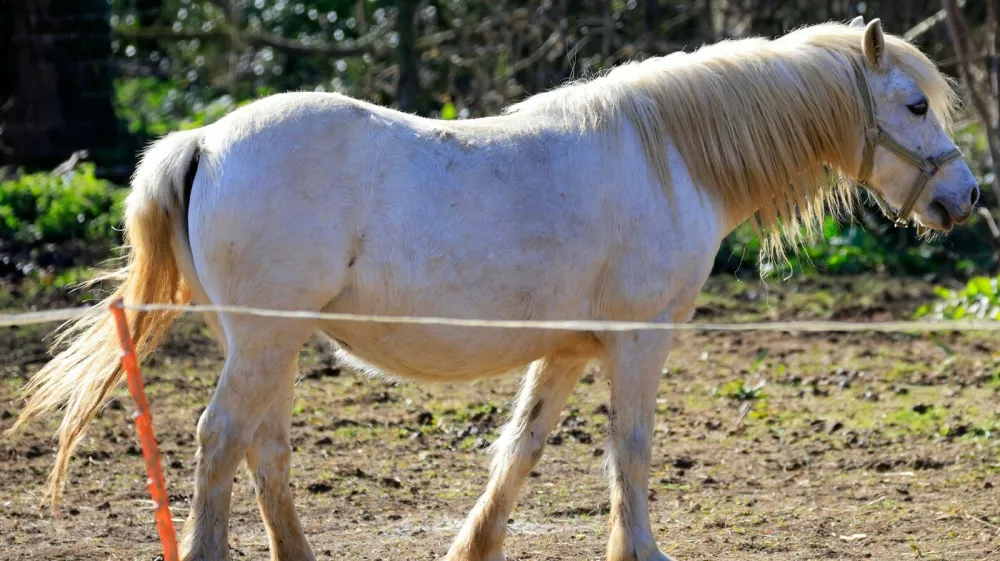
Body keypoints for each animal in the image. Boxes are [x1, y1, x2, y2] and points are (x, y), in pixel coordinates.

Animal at [9, 16, 978, 561]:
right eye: (915, 106)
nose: (964, 196)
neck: (668, 156)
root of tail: (205, 140)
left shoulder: (567, 352)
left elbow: (518, 453)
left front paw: (473, 547)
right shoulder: (639, 344)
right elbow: (631, 453)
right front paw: (642, 551)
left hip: (268, 344)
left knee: (264, 449)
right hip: (262, 341)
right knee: (220, 443)